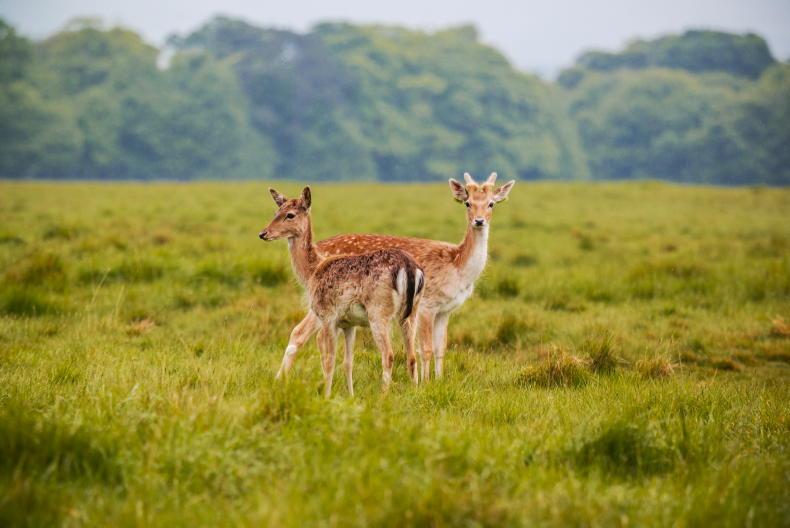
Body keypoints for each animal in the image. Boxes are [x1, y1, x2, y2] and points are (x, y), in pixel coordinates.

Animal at [258, 187, 424, 397]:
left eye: (290, 215)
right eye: (275, 212)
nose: (263, 233)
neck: (312, 271)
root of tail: (410, 268)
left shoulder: (327, 316)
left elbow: (327, 358)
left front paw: (326, 395)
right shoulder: (348, 323)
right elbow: (347, 362)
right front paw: (350, 396)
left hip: (379, 312)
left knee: (388, 354)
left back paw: (382, 396)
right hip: (412, 311)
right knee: (412, 356)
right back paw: (415, 392)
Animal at [267, 172, 515, 383]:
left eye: (491, 203)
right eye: (467, 202)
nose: (479, 220)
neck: (458, 268)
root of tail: (319, 251)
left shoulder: (446, 310)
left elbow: (440, 348)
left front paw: (438, 382)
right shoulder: (428, 305)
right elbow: (426, 349)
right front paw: (426, 384)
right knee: (299, 333)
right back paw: (281, 380)